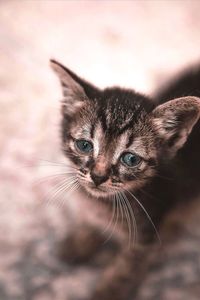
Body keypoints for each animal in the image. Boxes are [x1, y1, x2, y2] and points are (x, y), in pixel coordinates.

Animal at [50, 59, 200, 300]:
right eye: (84, 145)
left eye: (130, 159)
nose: (98, 176)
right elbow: (88, 221)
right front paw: (79, 241)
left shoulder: (146, 234)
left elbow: (126, 268)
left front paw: (108, 292)